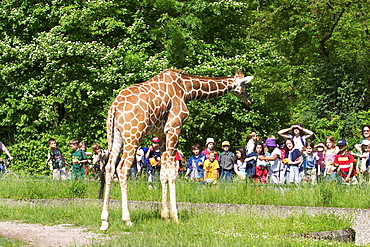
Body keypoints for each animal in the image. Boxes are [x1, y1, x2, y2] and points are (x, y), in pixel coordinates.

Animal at [99, 68, 253, 230]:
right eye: (244, 86)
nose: (249, 101)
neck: (186, 89)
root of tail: (114, 107)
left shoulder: (162, 134)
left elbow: (163, 173)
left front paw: (164, 216)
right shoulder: (174, 128)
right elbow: (172, 173)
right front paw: (175, 217)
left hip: (116, 135)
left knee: (109, 167)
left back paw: (104, 220)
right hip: (133, 135)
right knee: (123, 169)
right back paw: (127, 219)